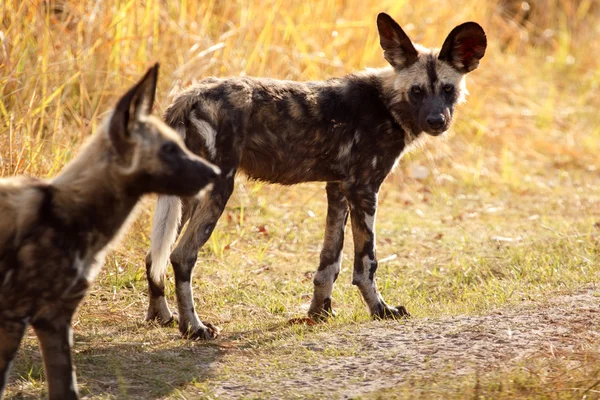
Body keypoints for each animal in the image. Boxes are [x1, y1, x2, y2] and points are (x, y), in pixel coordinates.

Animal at [0, 64, 220, 398]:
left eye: (181, 144)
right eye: (168, 149)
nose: (216, 173)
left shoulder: (54, 321)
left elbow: (66, 387)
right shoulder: (16, 318)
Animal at [145, 12, 488, 340]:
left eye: (448, 89)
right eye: (417, 91)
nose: (436, 121)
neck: (387, 105)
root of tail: (188, 98)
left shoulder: (337, 189)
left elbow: (329, 263)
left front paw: (319, 314)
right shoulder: (363, 189)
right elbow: (367, 263)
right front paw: (381, 310)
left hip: (187, 196)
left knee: (153, 256)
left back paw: (161, 317)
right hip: (218, 189)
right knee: (181, 257)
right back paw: (194, 328)